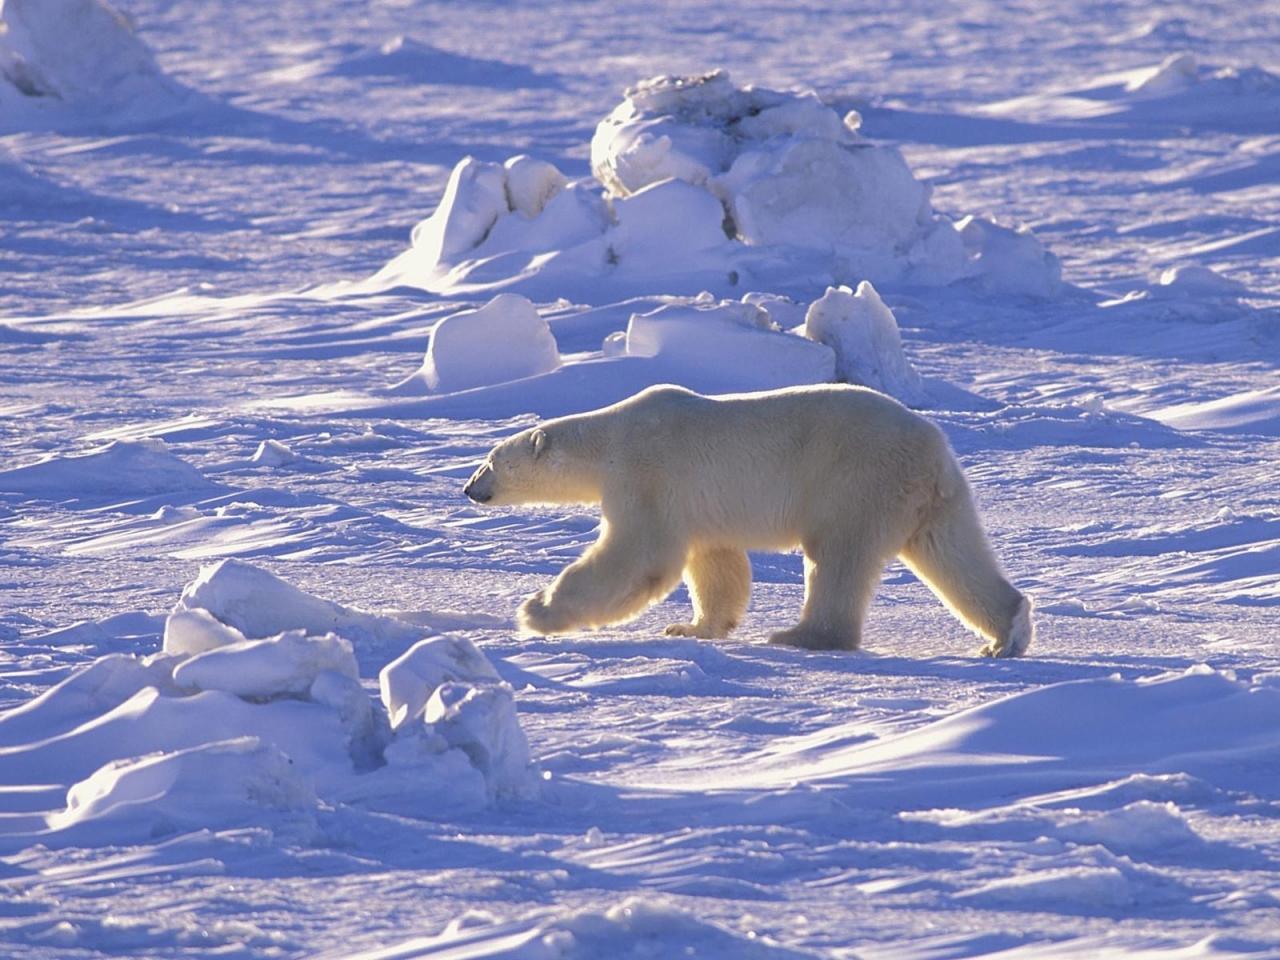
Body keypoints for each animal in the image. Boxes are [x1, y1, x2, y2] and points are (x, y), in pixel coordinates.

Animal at [465, 386, 1034, 660]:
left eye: (489, 461)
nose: (469, 489)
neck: (610, 439)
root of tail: (932, 450)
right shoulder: (696, 504)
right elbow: (716, 563)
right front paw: (691, 626)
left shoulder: (647, 474)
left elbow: (640, 556)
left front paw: (536, 612)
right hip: (933, 499)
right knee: (953, 553)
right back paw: (1005, 634)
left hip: (855, 479)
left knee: (838, 557)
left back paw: (800, 635)